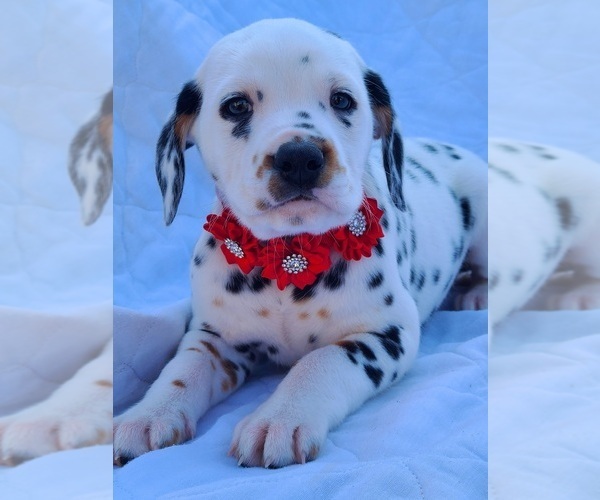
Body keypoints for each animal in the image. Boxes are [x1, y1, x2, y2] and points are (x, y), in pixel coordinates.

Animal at [112, 17, 488, 466]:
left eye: (342, 100)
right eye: (236, 106)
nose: (299, 158)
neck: (290, 253)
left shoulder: (386, 333)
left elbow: (321, 361)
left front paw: (280, 418)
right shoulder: (215, 337)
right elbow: (182, 369)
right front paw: (149, 415)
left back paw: (478, 292)